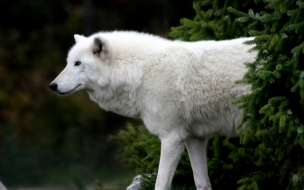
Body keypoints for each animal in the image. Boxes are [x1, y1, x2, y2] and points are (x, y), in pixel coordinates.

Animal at [50, 30, 256, 189]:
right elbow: (201, 182)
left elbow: (161, 184)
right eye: (68, 62)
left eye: (78, 63)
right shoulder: (194, 138)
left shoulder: (171, 138)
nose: (52, 86)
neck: (141, 72)